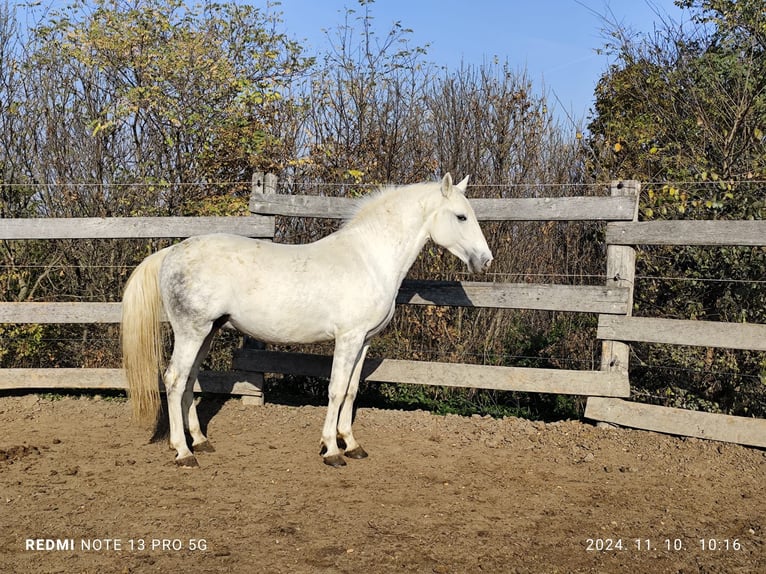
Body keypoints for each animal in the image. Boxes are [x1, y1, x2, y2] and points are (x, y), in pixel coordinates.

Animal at [120, 174, 492, 468]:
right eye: (461, 216)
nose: (485, 260)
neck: (370, 258)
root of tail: (171, 253)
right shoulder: (348, 338)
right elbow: (336, 390)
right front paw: (332, 451)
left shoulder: (364, 341)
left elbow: (351, 391)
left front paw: (351, 444)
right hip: (191, 331)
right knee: (174, 380)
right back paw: (183, 453)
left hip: (207, 332)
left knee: (188, 382)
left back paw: (200, 441)